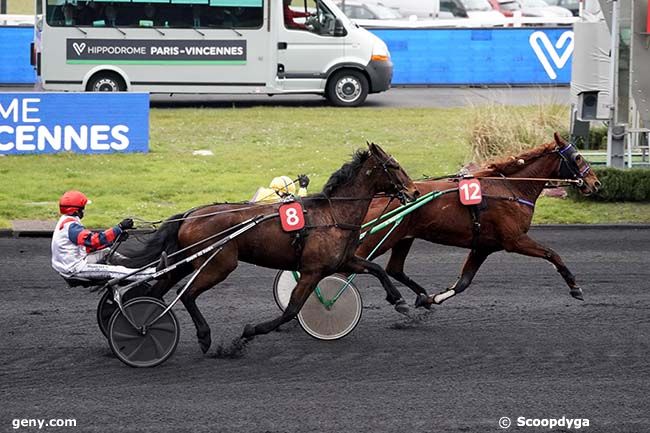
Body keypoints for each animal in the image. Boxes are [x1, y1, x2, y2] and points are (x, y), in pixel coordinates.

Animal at [116, 143, 416, 352]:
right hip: (219, 264)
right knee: (186, 293)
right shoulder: (312, 271)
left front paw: (399, 301)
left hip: (191, 260)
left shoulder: (342, 261)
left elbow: (377, 268)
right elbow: (291, 310)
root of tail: (191, 214)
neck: (333, 215)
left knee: (159, 289)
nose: (413, 191)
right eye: (394, 165)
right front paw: (248, 333)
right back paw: (202, 336)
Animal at [356, 133, 600, 306]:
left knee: (394, 268)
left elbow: (463, 282)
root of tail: (379, 195)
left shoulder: (484, 246)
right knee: (360, 261)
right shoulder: (515, 240)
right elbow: (552, 254)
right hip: (380, 238)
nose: (595, 183)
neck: (512, 188)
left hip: (403, 237)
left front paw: (431, 299)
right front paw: (575, 287)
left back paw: (418, 295)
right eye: (578, 157)